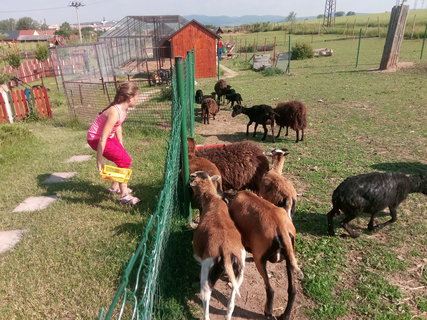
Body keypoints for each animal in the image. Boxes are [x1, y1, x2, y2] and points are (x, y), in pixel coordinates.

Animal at [191, 171, 247, 320]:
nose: (191, 176)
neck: (212, 201)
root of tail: (226, 250)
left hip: (207, 271)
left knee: (206, 296)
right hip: (238, 274)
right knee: (231, 304)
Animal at [229, 190, 302, 320]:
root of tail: (281, 227)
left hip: (260, 262)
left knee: (270, 290)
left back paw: (268, 312)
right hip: (289, 259)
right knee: (292, 290)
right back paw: (285, 315)